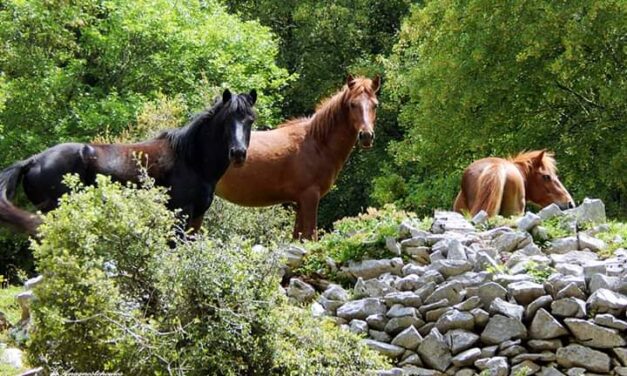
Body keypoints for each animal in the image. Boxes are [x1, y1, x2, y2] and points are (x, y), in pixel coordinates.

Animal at [0, 89, 258, 235]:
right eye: (226, 120)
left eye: (250, 120)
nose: (238, 153)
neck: (191, 160)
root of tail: (33, 160)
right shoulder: (179, 214)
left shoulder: (196, 217)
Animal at [216, 75, 382, 239]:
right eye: (353, 104)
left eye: (375, 105)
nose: (366, 136)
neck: (316, 143)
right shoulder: (310, 197)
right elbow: (310, 236)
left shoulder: (300, 202)